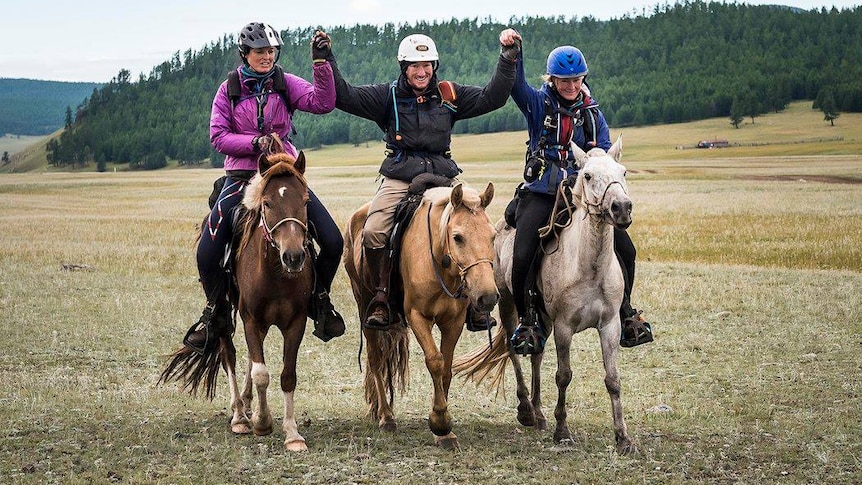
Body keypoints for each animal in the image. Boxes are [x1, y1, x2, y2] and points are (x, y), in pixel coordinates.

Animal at [159, 140, 314, 450]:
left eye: (305, 202)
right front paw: (262, 423)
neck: (276, 273)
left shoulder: (296, 321)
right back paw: (240, 416)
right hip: (221, 312)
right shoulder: (250, 317)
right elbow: (261, 373)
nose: (293, 257)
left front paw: (292, 433)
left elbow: (286, 374)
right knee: (228, 353)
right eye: (267, 203)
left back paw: (247, 403)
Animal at [344, 182, 500, 450]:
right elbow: (435, 361)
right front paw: (440, 422)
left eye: (492, 235)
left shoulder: (453, 322)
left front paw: (444, 430)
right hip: (364, 307)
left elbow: (446, 368)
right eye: (457, 237)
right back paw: (386, 417)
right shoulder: (418, 317)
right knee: (375, 361)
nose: (487, 297)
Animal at [456, 136, 636, 454]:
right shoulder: (564, 326)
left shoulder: (610, 325)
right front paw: (562, 431)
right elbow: (564, 376)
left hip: (542, 317)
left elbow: (613, 379)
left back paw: (539, 413)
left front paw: (623, 438)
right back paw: (526, 410)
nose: (621, 208)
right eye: (587, 175)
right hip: (509, 304)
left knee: (536, 355)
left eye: (623, 172)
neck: (589, 266)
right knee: (514, 349)